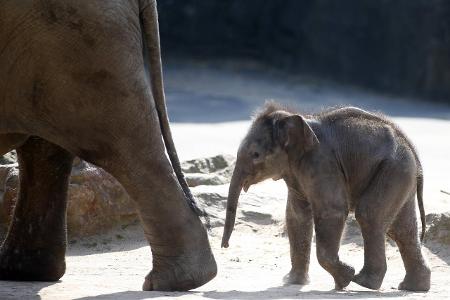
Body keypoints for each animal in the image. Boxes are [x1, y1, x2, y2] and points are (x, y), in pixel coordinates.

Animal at [223, 102, 430, 290]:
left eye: (255, 154)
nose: (225, 246)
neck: (297, 119)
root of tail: (413, 152)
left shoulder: (322, 164)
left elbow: (332, 212)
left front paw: (345, 279)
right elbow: (296, 217)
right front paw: (292, 282)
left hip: (392, 170)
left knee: (370, 216)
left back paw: (363, 283)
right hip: (400, 175)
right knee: (401, 229)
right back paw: (412, 287)